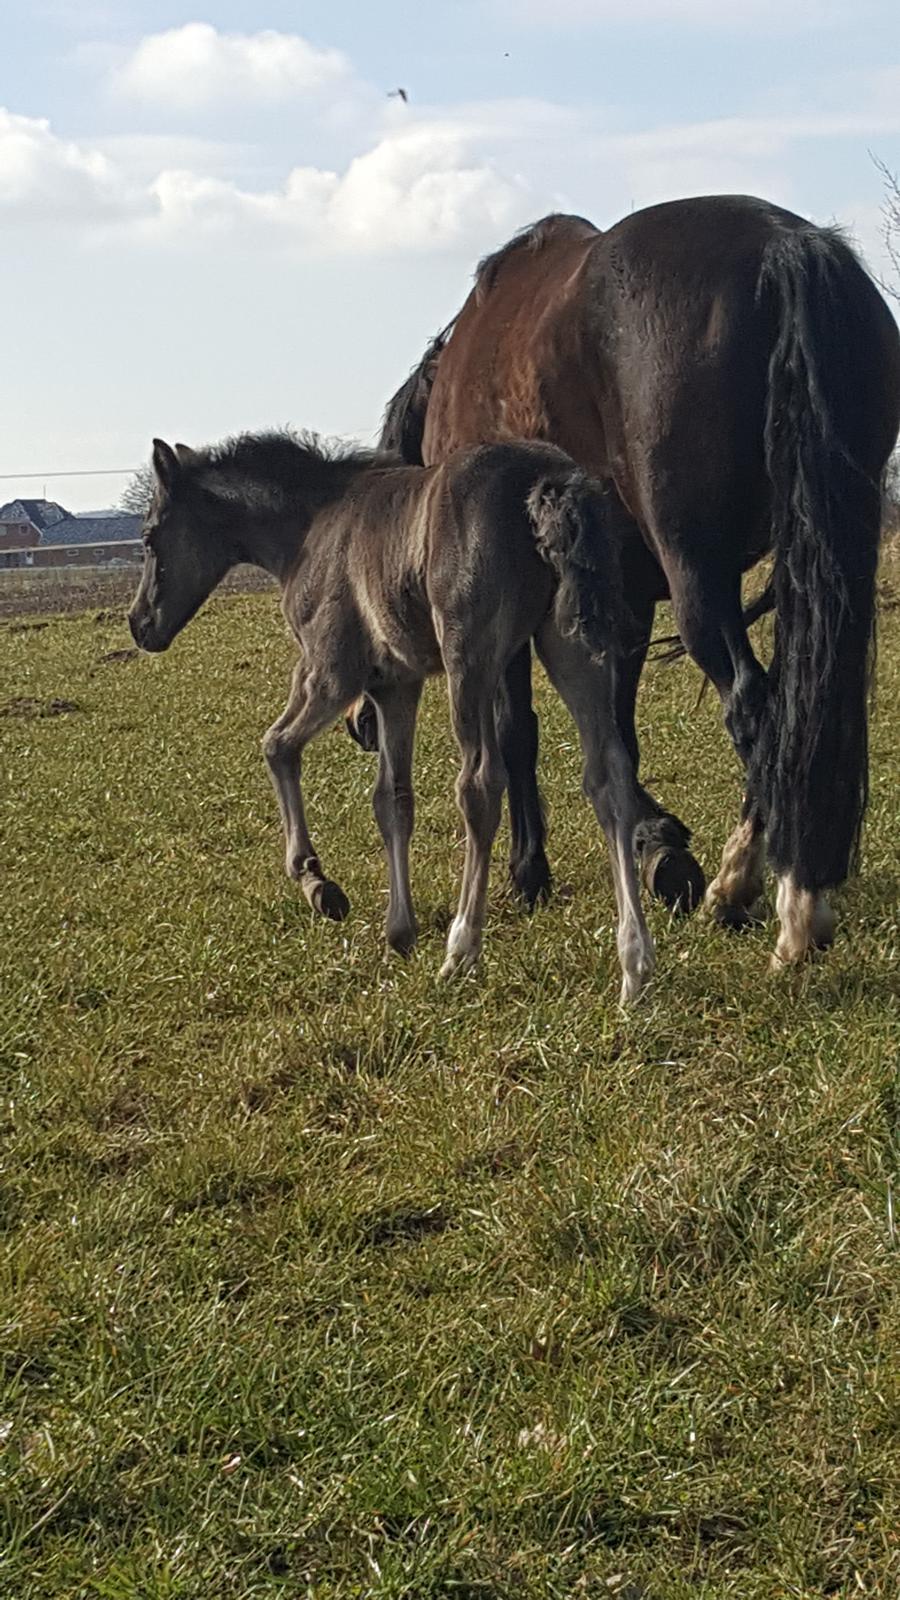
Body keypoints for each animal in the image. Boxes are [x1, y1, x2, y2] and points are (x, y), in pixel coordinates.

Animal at [128, 425, 650, 998]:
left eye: (150, 537)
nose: (140, 624)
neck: (311, 529)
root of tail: (546, 479)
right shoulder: (397, 684)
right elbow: (392, 799)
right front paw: (399, 931)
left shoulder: (332, 672)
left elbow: (277, 746)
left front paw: (318, 883)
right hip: (572, 646)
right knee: (608, 776)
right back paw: (634, 965)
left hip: (470, 656)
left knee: (480, 784)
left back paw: (461, 949)